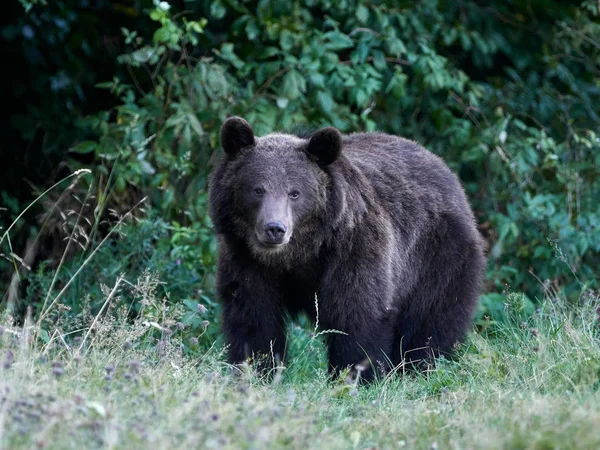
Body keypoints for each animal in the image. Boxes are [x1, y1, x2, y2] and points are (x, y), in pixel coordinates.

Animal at [209, 116, 486, 380]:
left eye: (295, 192)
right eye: (257, 189)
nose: (275, 229)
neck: (300, 254)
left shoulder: (353, 250)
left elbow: (357, 314)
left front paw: (355, 375)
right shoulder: (247, 260)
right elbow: (254, 319)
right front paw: (256, 371)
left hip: (438, 255)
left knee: (430, 320)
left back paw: (420, 367)